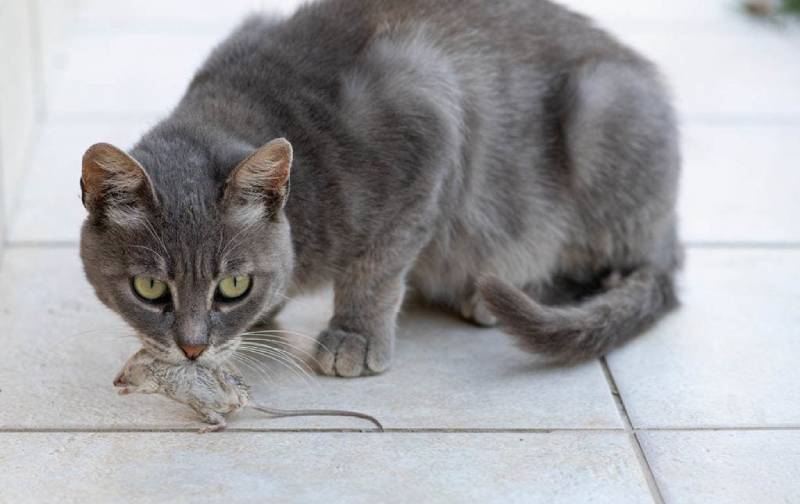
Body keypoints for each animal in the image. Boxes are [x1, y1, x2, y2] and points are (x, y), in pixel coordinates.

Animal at [81, 0, 680, 378]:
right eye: (149, 289)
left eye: (232, 285)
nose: (192, 348)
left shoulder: (427, 120)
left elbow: (376, 267)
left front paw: (354, 336)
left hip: (603, 111)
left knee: (607, 266)